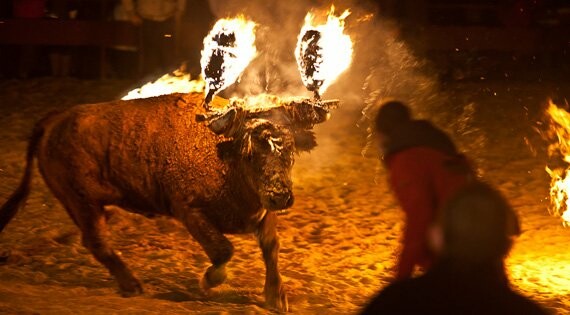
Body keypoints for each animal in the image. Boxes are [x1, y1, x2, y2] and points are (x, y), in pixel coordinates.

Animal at [0, 92, 332, 314]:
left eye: (290, 149)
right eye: (251, 153)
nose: (281, 196)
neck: (225, 153)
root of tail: (55, 119)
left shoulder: (261, 213)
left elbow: (271, 249)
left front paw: (277, 298)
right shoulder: (189, 211)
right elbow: (223, 250)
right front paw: (209, 281)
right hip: (83, 202)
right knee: (97, 241)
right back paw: (133, 285)